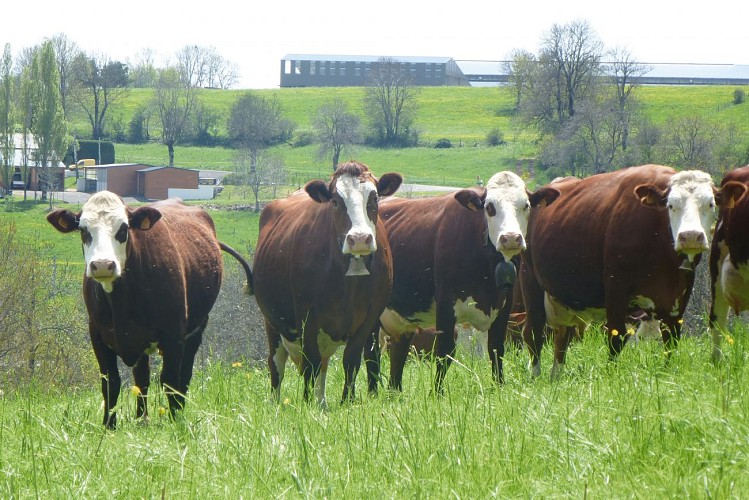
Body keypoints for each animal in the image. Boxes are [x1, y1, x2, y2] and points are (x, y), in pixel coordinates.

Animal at [46, 191, 253, 426]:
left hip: (197, 329)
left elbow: (171, 380)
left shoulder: (174, 335)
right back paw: (141, 419)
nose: (102, 265)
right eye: (83, 230)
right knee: (142, 378)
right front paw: (109, 425)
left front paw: (175, 421)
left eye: (123, 229)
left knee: (183, 376)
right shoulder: (97, 334)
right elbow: (111, 382)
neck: (122, 303)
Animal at [253, 160, 404, 406]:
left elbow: (351, 360)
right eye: (335, 200)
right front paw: (306, 404)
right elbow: (310, 363)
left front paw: (347, 400)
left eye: (374, 198)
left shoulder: (369, 317)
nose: (359, 239)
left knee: (323, 366)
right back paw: (277, 402)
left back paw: (322, 403)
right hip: (272, 322)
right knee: (277, 364)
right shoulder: (307, 317)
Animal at [360, 170, 560, 392]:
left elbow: (496, 349)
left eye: (526, 205)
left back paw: (395, 392)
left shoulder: (504, 304)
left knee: (398, 353)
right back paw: (373, 393)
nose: (510, 238)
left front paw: (499, 387)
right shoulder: (446, 305)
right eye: (489, 207)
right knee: (371, 354)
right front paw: (437, 394)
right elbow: (444, 352)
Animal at [520, 165, 744, 378]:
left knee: (563, 335)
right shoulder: (616, 289)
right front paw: (611, 376)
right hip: (530, 279)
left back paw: (556, 376)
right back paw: (536, 375)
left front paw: (667, 373)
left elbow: (670, 339)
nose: (690, 236)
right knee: (534, 331)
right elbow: (616, 336)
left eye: (711, 204)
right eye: (671, 205)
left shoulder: (678, 296)